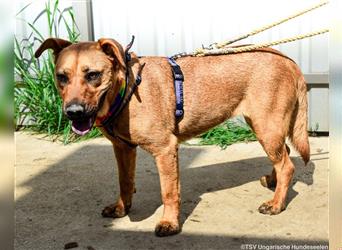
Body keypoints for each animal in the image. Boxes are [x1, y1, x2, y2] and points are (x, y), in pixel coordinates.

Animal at [34, 37, 310, 236]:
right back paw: (273, 183)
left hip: (266, 126)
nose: (73, 112)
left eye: (93, 75)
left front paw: (169, 223)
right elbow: (125, 182)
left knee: (287, 165)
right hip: (266, 126)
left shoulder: (165, 150)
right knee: (284, 155)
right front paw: (122, 208)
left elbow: (168, 191)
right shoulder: (123, 149)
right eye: (61, 77)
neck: (127, 89)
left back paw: (276, 204)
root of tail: (290, 61)